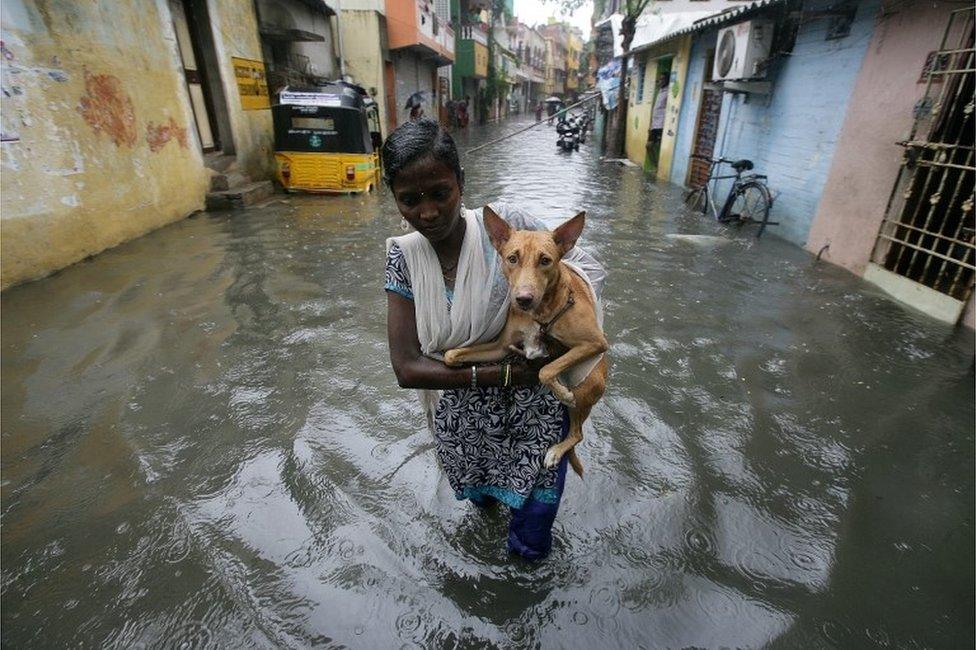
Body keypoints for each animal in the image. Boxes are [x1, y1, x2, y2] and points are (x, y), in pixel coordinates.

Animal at [444, 208, 608, 476]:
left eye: (545, 260)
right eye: (512, 258)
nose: (523, 299)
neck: (538, 313)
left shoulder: (595, 341)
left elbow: (547, 370)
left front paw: (562, 393)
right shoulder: (499, 347)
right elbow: (452, 354)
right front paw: (457, 363)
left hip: (588, 381)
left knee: (577, 434)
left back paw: (556, 449)